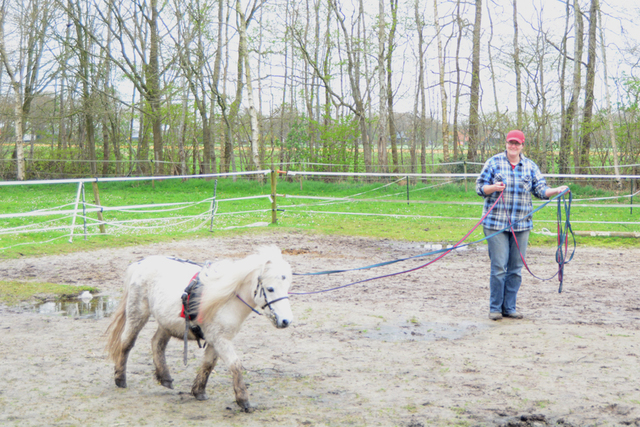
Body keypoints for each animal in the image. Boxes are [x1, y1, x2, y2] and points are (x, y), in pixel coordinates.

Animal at [106, 246, 294, 412]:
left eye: (287, 287)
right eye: (270, 288)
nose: (286, 321)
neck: (227, 299)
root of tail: (140, 263)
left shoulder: (216, 340)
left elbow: (208, 364)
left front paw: (199, 391)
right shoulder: (221, 340)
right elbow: (235, 364)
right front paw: (243, 400)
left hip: (166, 322)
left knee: (157, 343)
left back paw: (165, 378)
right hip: (137, 314)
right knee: (127, 342)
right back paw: (120, 379)